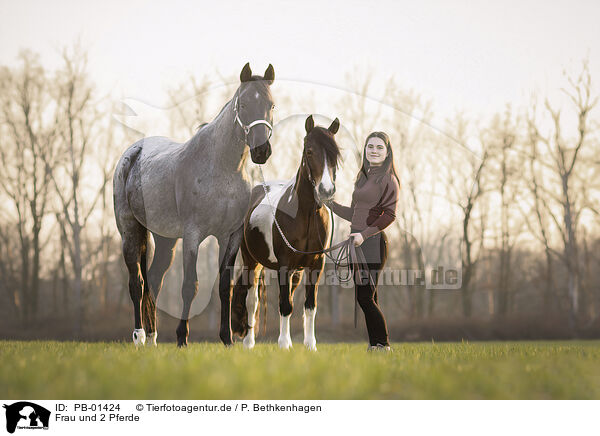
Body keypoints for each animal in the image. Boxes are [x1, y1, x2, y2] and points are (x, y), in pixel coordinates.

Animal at [113, 62, 276, 348]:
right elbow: (190, 285)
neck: (222, 169)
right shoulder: (193, 235)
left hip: (165, 240)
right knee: (137, 283)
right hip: (130, 232)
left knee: (154, 281)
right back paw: (139, 336)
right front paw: (182, 338)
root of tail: (133, 154)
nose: (261, 151)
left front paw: (227, 338)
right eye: (244, 104)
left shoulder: (230, 237)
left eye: (271, 105)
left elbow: (225, 286)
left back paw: (153, 338)